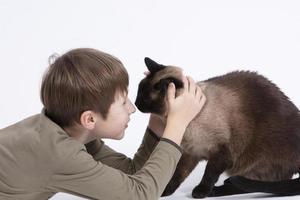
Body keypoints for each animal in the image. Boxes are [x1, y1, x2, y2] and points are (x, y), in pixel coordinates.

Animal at [135, 57, 300, 198]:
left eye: (144, 97)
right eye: (138, 92)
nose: (136, 104)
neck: (186, 124)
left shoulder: (222, 154)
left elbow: (209, 174)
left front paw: (200, 192)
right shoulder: (190, 153)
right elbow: (178, 174)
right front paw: (165, 191)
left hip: (253, 160)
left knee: (248, 185)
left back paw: (215, 190)